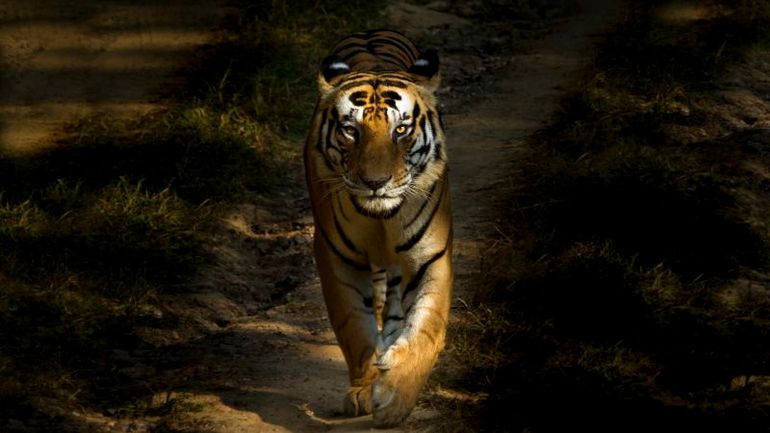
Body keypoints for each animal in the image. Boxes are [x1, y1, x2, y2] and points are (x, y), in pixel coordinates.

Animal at [303, 29, 453, 427]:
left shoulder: (430, 257)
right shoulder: (335, 257)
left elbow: (425, 330)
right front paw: (363, 390)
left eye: (400, 129)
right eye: (350, 131)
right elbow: (354, 327)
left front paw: (396, 397)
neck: (381, 217)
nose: (375, 182)